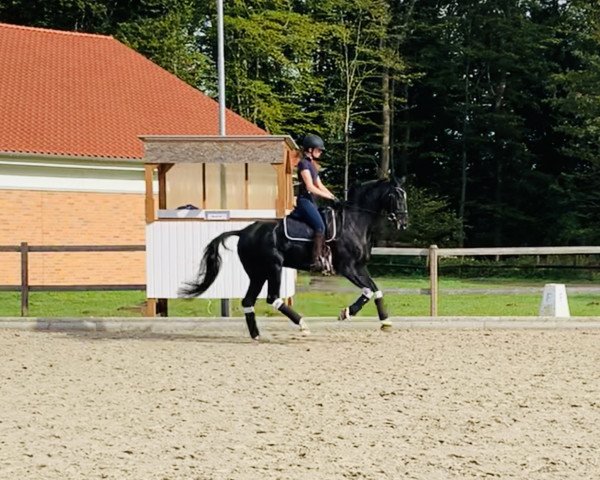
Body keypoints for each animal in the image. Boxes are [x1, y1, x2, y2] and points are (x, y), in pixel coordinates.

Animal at [180, 176, 410, 338]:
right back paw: (302, 325)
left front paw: (385, 322)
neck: (354, 221)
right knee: (272, 298)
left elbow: (375, 289)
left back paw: (256, 335)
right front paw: (346, 313)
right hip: (273, 268)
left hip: (257, 273)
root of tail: (244, 231)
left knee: (248, 300)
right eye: (396, 196)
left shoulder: (360, 267)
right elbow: (367, 290)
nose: (404, 223)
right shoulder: (347, 268)